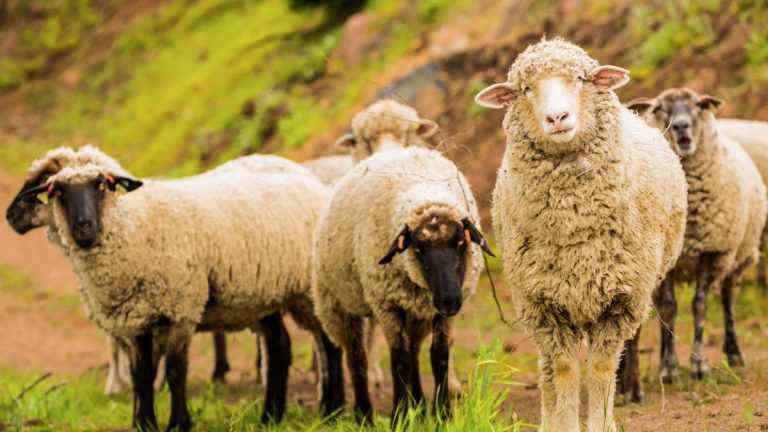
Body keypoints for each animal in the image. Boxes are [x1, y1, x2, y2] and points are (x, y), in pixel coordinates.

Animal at [14, 150, 342, 431]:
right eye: (57, 191)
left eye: (101, 185)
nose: (83, 226)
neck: (134, 230)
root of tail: (314, 184)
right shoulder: (137, 318)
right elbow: (141, 374)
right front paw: (144, 423)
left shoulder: (181, 309)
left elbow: (175, 370)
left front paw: (178, 423)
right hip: (265, 297)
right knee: (279, 347)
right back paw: (270, 417)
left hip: (310, 289)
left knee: (329, 344)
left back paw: (333, 411)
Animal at [312, 146, 491, 422]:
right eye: (417, 248)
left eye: (461, 242)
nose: (449, 300)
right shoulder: (386, 304)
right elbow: (399, 358)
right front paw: (399, 415)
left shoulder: (440, 312)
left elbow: (439, 356)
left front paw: (442, 414)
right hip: (336, 304)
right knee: (356, 356)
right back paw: (364, 414)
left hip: (417, 312)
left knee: (414, 349)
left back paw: (418, 406)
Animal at [474, 38, 688, 432]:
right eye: (526, 89)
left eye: (579, 79)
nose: (557, 118)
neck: (575, 225)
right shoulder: (544, 306)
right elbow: (563, 370)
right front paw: (564, 423)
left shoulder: (621, 301)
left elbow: (601, 369)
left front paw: (602, 423)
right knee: (546, 369)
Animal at [621, 90, 767, 388]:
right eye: (659, 108)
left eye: (698, 105)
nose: (681, 126)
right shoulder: (667, 258)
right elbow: (668, 309)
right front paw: (669, 368)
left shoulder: (710, 252)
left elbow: (699, 306)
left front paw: (699, 367)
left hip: (737, 260)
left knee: (727, 300)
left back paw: (734, 354)